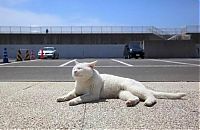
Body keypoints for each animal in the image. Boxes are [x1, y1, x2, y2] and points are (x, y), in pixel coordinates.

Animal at [56, 60, 186, 107]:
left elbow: (81, 98)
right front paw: (62, 98)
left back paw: (149, 102)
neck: (82, 82)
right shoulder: (76, 91)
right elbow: (68, 94)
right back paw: (131, 102)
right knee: (136, 98)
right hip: (123, 93)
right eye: (74, 68)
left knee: (150, 95)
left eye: (80, 68)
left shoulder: (93, 95)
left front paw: (73, 101)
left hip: (133, 88)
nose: (74, 71)